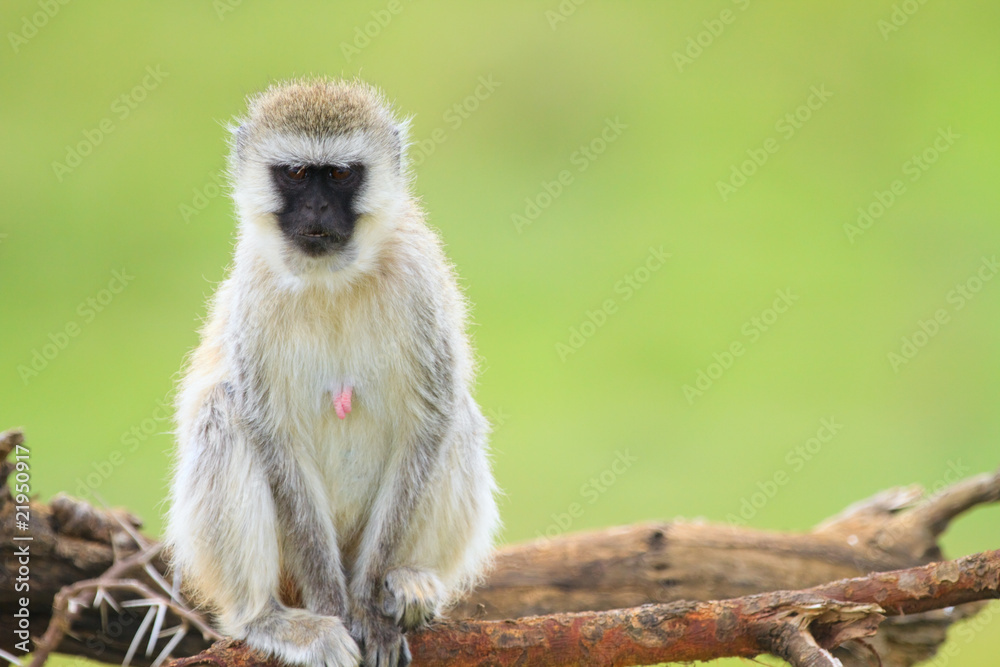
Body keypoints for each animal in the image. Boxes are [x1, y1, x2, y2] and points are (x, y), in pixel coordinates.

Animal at [165, 79, 500, 667]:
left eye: (341, 174)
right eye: (298, 174)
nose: (319, 207)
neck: (331, 281)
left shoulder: (418, 279)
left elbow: (428, 421)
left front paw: (369, 607)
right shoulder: (255, 287)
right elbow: (271, 433)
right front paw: (333, 606)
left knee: (456, 417)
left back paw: (410, 579)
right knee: (223, 410)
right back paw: (265, 617)